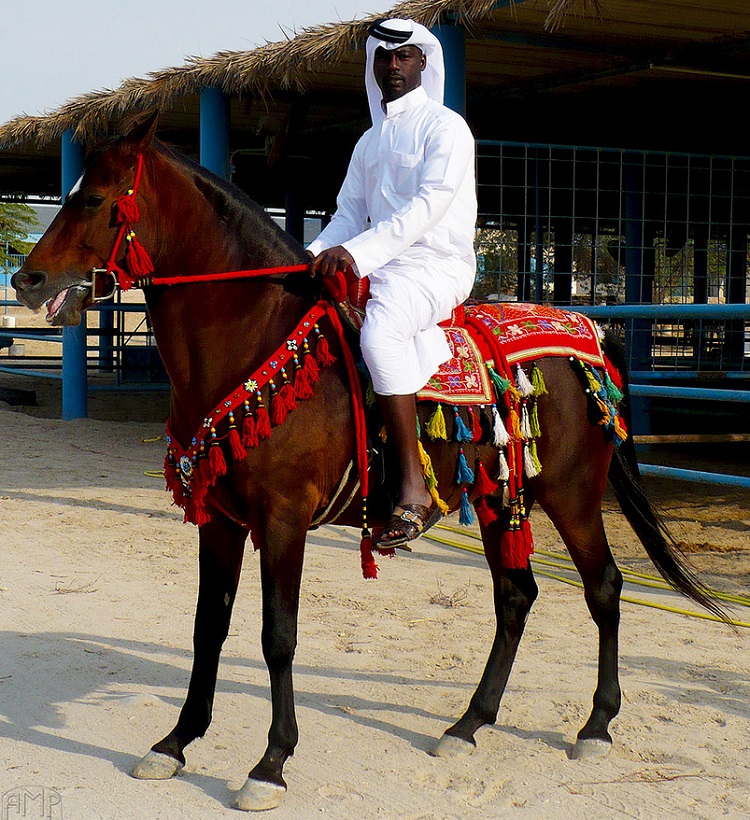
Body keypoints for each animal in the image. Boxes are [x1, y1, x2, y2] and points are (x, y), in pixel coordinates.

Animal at [11, 112, 728, 812]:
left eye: (95, 199)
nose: (25, 279)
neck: (252, 338)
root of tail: (591, 332)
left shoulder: (282, 520)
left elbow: (277, 635)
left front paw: (271, 764)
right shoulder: (219, 520)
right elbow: (207, 627)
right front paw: (176, 742)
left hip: (572, 495)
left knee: (603, 587)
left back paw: (596, 726)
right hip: (499, 499)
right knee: (515, 596)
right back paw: (469, 724)